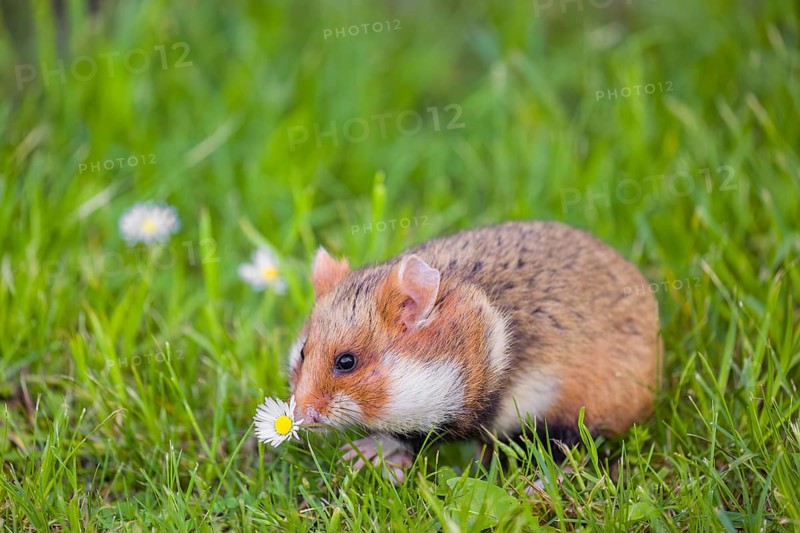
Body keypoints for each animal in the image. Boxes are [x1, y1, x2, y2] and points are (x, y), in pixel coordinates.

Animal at [288, 221, 660, 478]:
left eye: (346, 362)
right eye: (304, 353)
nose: (299, 417)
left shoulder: (462, 410)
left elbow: (414, 435)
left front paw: (359, 453)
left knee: (572, 454)